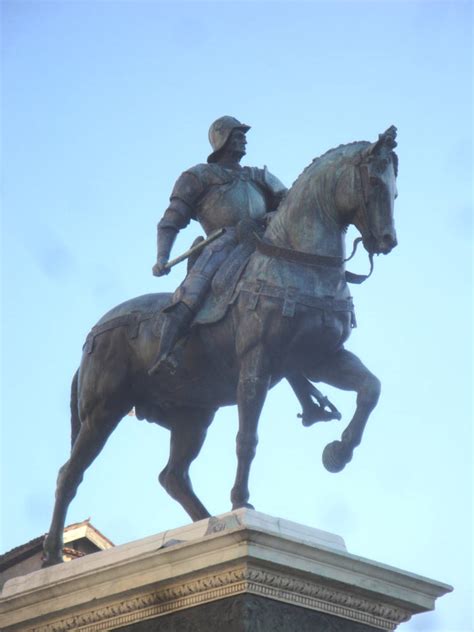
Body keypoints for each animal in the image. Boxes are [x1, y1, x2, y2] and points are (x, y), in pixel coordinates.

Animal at [42, 126, 398, 564]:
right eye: (374, 181)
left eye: (395, 187)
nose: (386, 240)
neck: (296, 262)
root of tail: (94, 334)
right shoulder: (256, 364)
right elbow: (247, 439)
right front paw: (241, 501)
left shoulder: (322, 359)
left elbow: (370, 390)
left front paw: (338, 452)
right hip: (103, 411)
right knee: (70, 474)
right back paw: (52, 556)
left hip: (192, 418)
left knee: (173, 477)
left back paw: (205, 526)